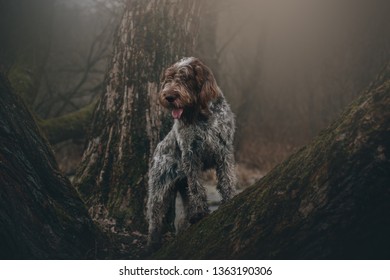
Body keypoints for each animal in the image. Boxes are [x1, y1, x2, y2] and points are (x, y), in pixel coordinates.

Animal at [147, 57, 236, 249]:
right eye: (169, 79)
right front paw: (201, 212)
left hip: (181, 186)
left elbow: (227, 178)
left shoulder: (223, 150)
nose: (169, 97)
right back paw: (152, 244)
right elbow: (197, 188)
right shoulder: (190, 155)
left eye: (185, 78)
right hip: (159, 190)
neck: (200, 115)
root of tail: (158, 148)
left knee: (183, 217)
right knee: (155, 219)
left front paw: (230, 199)